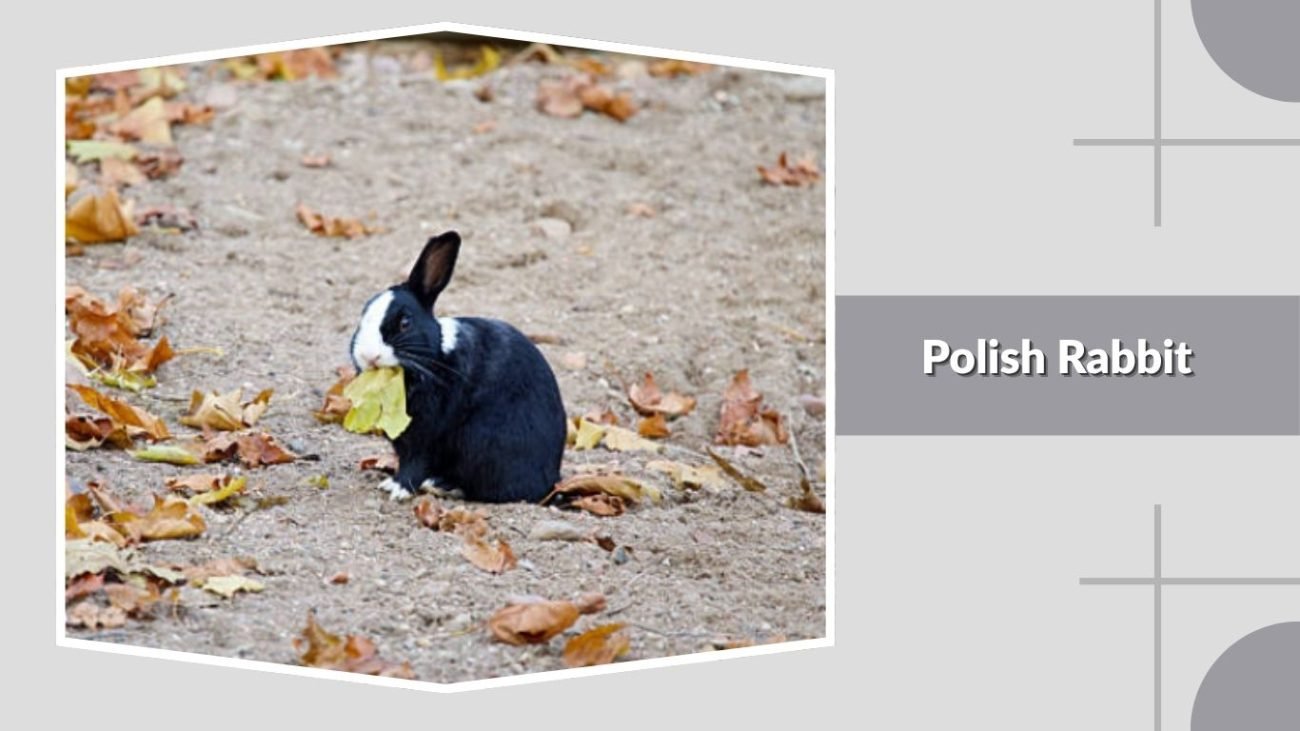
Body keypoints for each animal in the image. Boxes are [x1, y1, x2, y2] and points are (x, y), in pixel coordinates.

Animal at [349, 231, 567, 503]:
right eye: (361, 318)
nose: (369, 355)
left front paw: (398, 489)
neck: (434, 357)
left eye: (405, 323)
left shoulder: (425, 437)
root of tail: (551, 480)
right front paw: (390, 484)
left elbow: (414, 463)